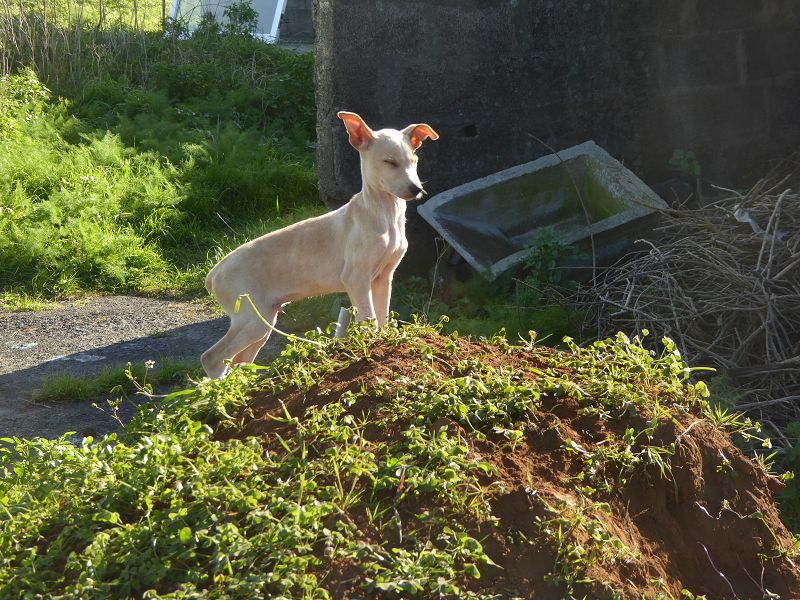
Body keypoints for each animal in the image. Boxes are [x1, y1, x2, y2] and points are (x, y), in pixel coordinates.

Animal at [200, 110, 438, 378]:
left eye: (414, 161)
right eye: (390, 162)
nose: (416, 189)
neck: (383, 214)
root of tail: (213, 273)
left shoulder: (383, 277)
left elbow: (382, 317)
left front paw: (386, 344)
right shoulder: (355, 279)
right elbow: (369, 320)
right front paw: (371, 349)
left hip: (263, 319)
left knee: (239, 362)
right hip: (251, 318)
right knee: (213, 358)